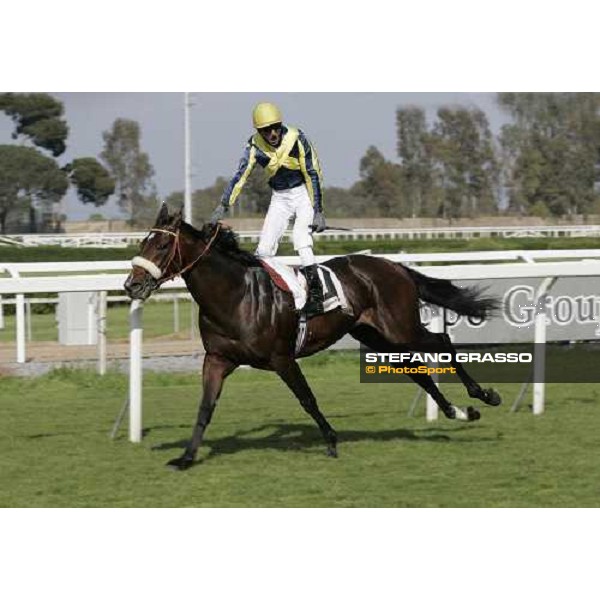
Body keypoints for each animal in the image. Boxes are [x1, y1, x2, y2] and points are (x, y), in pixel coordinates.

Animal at [124, 204, 500, 472]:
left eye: (161, 244)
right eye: (142, 241)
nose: (131, 285)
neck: (235, 295)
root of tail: (395, 267)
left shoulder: (281, 358)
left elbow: (307, 399)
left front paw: (331, 441)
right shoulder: (217, 359)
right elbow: (205, 407)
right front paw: (186, 458)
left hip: (400, 327)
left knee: (441, 343)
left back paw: (483, 395)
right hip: (376, 335)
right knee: (416, 372)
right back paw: (458, 412)